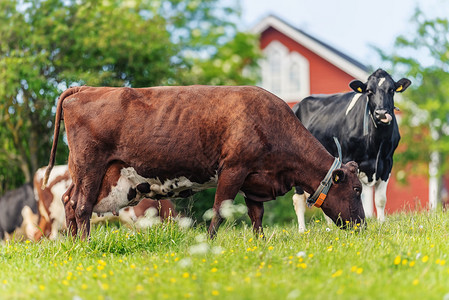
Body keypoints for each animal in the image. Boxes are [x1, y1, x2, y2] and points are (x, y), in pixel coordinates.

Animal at [43, 85, 364, 239]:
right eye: (357, 189)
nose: (362, 223)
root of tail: (87, 88)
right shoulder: (233, 170)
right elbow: (220, 210)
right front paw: (209, 242)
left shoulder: (253, 180)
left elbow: (256, 215)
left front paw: (259, 241)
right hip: (90, 166)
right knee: (81, 206)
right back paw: (85, 244)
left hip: (85, 173)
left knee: (68, 200)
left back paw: (74, 245)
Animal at [290, 68, 410, 232]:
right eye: (369, 91)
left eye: (391, 90)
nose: (381, 114)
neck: (376, 142)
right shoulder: (350, 160)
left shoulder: (387, 162)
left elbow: (380, 199)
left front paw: (381, 223)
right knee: (298, 200)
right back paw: (302, 230)